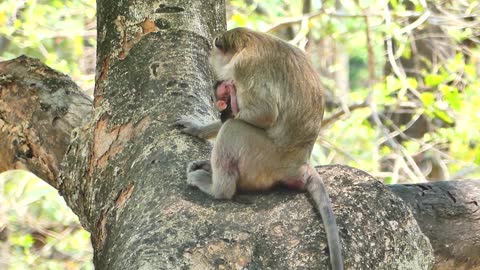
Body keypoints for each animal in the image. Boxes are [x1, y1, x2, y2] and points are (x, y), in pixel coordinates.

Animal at [174, 28, 344, 270]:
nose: (221, 88)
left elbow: (264, 114)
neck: (250, 41)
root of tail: (300, 165)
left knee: (233, 128)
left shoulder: (244, 67)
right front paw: (199, 129)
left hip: (264, 159)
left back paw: (217, 188)